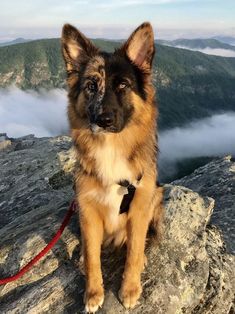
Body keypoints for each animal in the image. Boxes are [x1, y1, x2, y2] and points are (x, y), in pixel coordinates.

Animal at [60, 21, 163, 312]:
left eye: (123, 85)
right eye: (91, 86)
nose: (103, 120)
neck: (111, 148)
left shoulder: (139, 207)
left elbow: (134, 251)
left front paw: (129, 288)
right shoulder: (87, 211)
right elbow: (92, 257)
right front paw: (94, 293)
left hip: (157, 195)